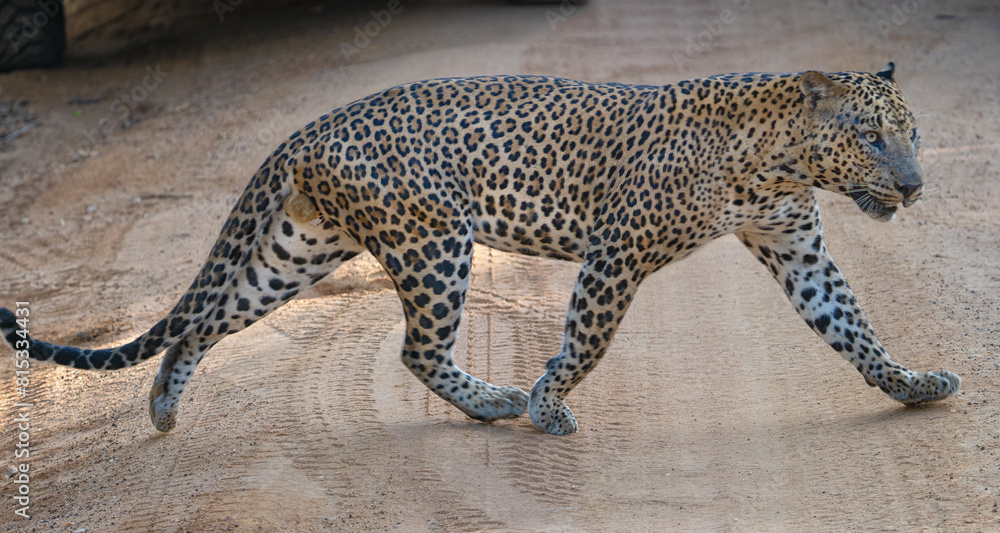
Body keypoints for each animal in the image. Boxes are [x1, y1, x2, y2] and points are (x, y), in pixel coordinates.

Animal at [1, 62, 961, 435]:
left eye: (912, 134)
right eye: (873, 138)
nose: (916, 186)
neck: (778, 159)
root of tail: (309, 126)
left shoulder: (798, 247)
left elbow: (855, 329)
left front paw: (912, 385)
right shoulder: (617, 251)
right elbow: (584, 342)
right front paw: (546, 403)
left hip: (299, 250)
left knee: (204, 322)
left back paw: (165, 406)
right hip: (434, 244)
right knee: (417, 349)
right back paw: (498, 402)